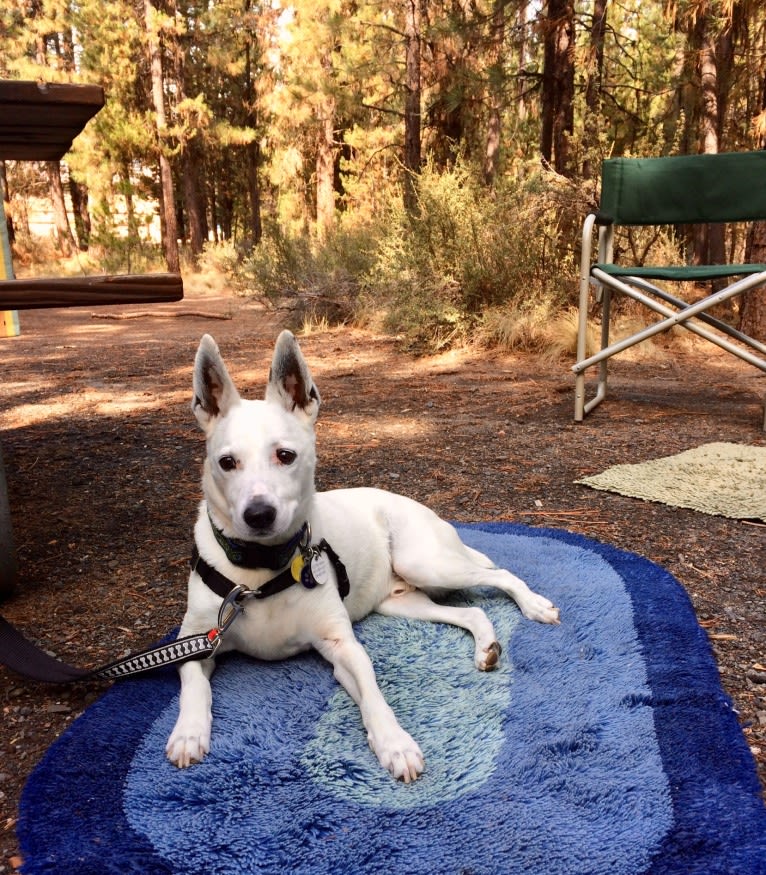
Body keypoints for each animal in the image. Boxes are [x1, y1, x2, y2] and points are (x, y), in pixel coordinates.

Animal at [168, 332, 560, 784]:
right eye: (226, 462)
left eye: (285, 455)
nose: (259, 514)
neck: (259, 571)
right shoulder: (193, 643)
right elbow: (194, 686)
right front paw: (188, 732)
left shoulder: (343, 647)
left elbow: (373, 693)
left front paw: (395, 743)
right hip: (402, 601)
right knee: (472, 612)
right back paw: (486, 647)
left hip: (426, 561)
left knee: (501, 574)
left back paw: (534, 605)